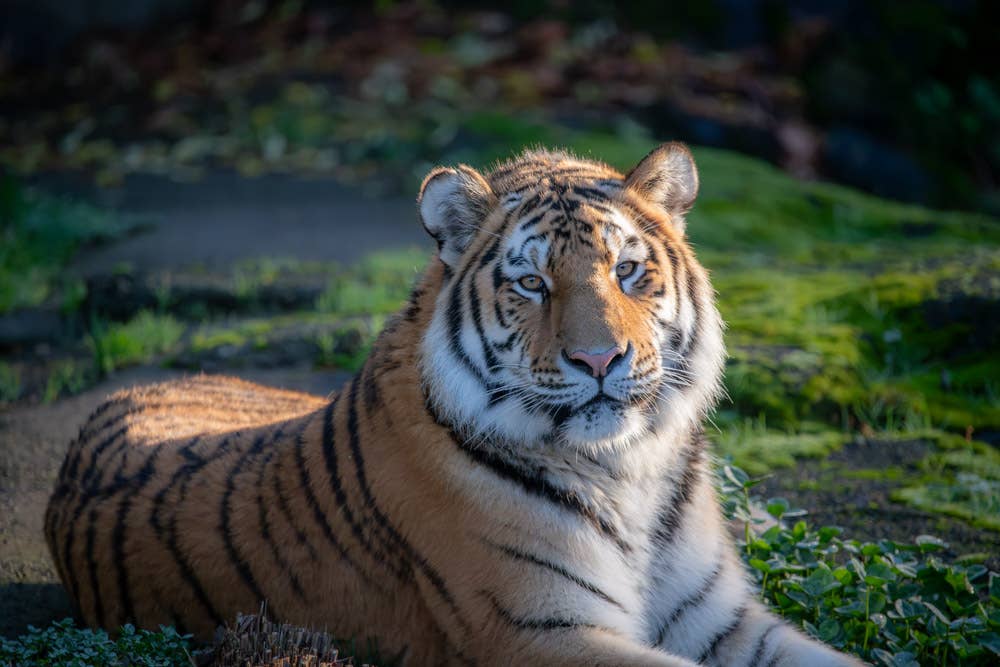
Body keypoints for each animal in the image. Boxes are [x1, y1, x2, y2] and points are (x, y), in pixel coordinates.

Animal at [45, 143, 864, 666]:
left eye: (627, 271)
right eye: (532, 283)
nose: (601, 360)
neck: (627, 468)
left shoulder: (724, 619)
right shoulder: (538, 631)